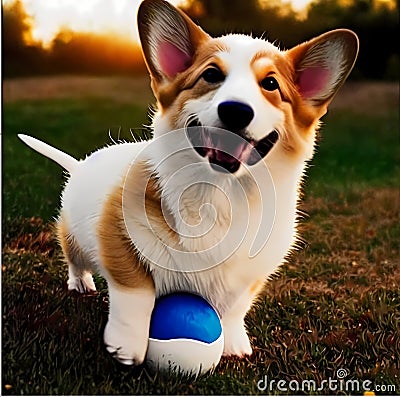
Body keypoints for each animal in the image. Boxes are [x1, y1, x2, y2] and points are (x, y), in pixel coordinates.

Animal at [18, 0, 360, 366]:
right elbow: (135, 294)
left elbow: (234, 307)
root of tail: (81, 164)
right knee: (74, 258)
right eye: (211, 75)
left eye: (270, 84)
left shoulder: (251, 273)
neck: (218, 193)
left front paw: (234, 344)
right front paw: (126, 347)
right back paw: (80, 283)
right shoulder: (118, 238)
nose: (236, 110)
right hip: (74, 236)